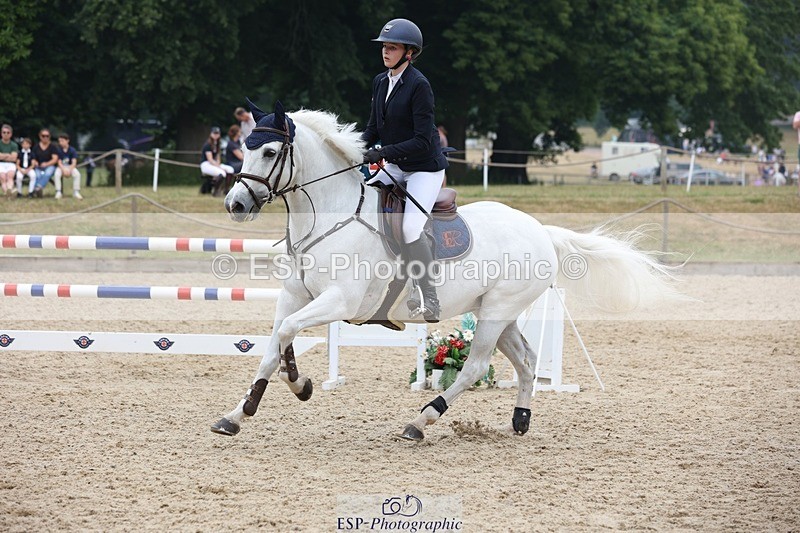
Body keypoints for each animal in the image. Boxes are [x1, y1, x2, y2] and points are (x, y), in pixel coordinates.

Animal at [212, 100, 680, 440]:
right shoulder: (296, 296)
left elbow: (288, 334)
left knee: (474, 367)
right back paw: (520, 419)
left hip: (496, 311)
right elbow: (274, 343)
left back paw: (421, 422)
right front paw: (238, 413)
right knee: (526, 360)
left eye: (270, 151)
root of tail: (540, 229)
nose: (235, 204)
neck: (329, 215)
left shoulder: (339, 301)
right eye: (245, 148)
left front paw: (300, 385)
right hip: (497, 311)